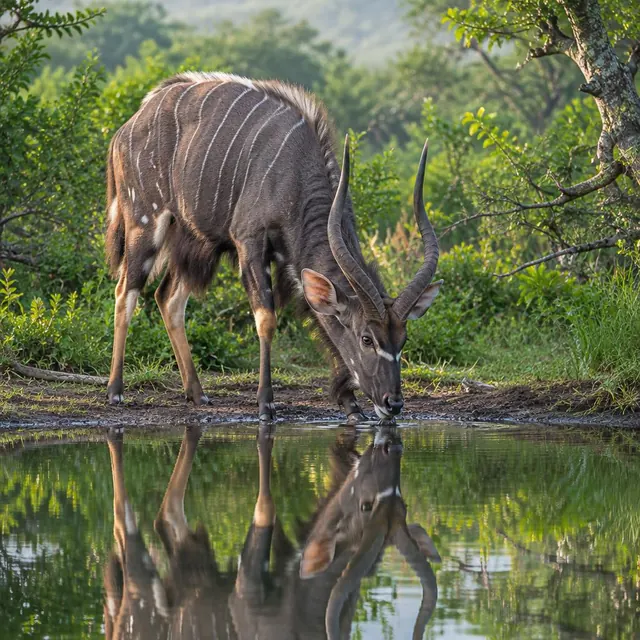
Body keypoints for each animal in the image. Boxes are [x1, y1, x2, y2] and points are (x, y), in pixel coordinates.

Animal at [104, 425, 439, 639]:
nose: (390, 445)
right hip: (142, 591)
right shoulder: (247, 592)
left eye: (403, 504)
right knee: (127, 529)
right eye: (366, 506)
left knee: (166, 521)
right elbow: (265, 513)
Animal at [105, 72, 442, 421]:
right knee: (126, 292)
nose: (393, 403)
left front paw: (350, 404)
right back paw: (115, 391)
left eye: (402, 339)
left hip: (197, 243)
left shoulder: (288, 259)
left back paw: (197, 393)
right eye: (367, 338)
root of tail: (125, 129)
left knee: (168, 298)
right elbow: (266, 318)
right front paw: (266, 403)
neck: (294, 171)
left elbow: (316, 315)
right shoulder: (250, 240)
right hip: (145, 224)